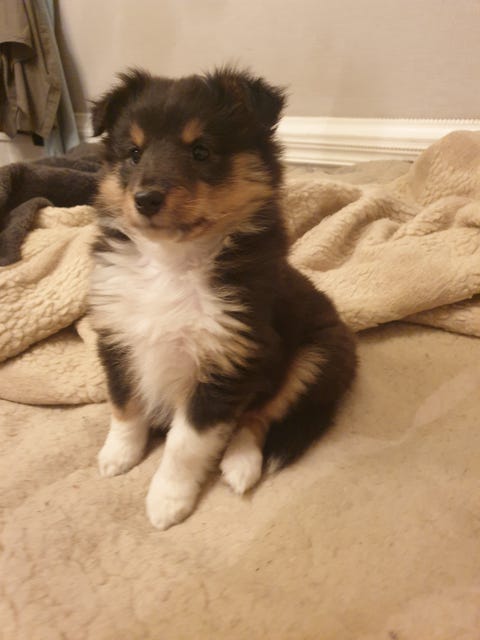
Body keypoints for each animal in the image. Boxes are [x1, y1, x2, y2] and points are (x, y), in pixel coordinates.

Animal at [89, 67, 357, 530]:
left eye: (201, 151)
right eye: (133, 153)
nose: (146, 199)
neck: (172, 262)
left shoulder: (226, 362)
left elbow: (185, 443)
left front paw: (166, 502)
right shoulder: (117, 337)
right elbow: (124, 405)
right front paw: (118, 456)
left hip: (314, 356)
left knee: (258, 417)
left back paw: (241, 466)